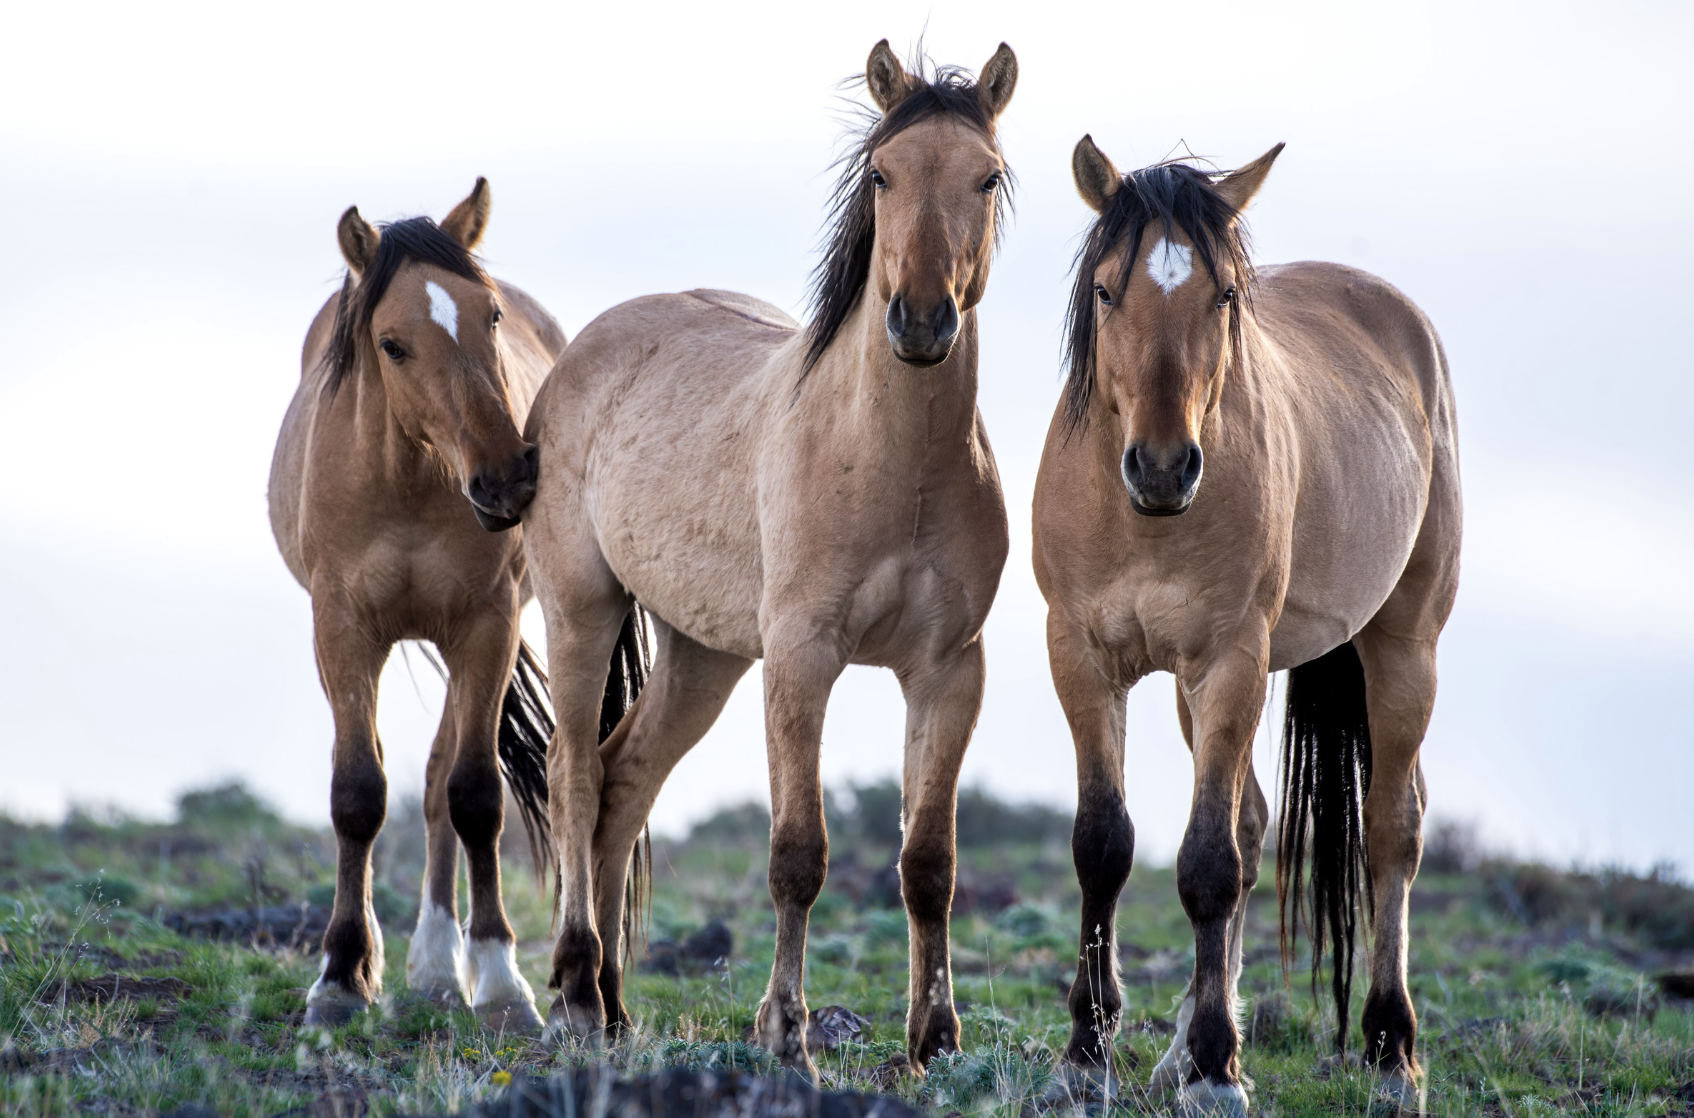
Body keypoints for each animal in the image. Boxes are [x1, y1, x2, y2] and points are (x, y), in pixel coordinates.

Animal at [268, 180, 646, 1031]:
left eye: (492, 316)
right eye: (392, 343)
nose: (507, 476)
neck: (406, 482)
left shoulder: (486, 626)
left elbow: (473, 795)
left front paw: (502, 983)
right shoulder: (341, 633)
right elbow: (358, 794)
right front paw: (340, 978)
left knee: (445, 774)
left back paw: (442, 966)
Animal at [515, 41, 1018, 1078]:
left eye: (986, 176)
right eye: (882, 173)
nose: (919, 322)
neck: (894, 462)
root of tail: (582, 350)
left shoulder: (949, 670)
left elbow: (930, 863)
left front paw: (934, 1040)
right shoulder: (802, 657)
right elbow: (798, 855)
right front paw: (787, 1034)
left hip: (705, 655)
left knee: (624, 783)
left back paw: (616, 1007)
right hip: (583, 611)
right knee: (574, 775)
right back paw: (578, 990)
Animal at [1033, 139, 1460, 1112]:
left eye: (1223, 295)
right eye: (1106, 291)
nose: (1162, 468)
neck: (1143, 522)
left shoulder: (1228, 661)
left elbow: (1208, 864)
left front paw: (1219, 1068)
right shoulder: (1082, 658)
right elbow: (1102, 844)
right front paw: (1089, 1051)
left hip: (1403, 649)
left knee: (1393, 831)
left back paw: (1391, 1054)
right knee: (1259, 821)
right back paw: (1179, 1050)